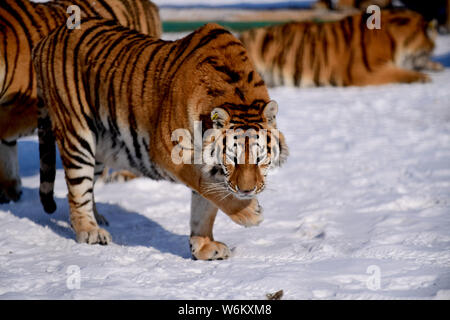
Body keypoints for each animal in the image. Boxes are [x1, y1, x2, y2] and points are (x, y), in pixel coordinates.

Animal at [33, 18, 290, 260]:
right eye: (233, 159)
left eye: (259, 158)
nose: (247, 191)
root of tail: (49, 37)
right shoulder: (171, 152)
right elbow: (210, 188)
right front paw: (250, 214)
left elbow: (205, 207)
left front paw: (204, 247)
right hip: (77, 133)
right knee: (77, 189)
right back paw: (90, 231)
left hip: (101, 146)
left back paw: (98, 218)